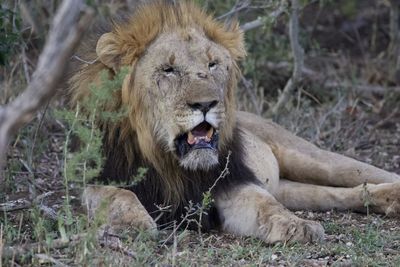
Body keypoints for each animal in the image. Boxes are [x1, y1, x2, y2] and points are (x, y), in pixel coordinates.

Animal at [69, 1, 400, 245]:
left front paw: (297, 226)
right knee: (333, 194)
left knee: (360, 174)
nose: (206, 104)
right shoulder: (98, 179)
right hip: (287, 186)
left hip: (314, 158)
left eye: (212, 65)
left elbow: (266, 206)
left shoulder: (231, 182)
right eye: (168, 70)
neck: (170, 163)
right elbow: (118, 195)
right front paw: (134, 224)